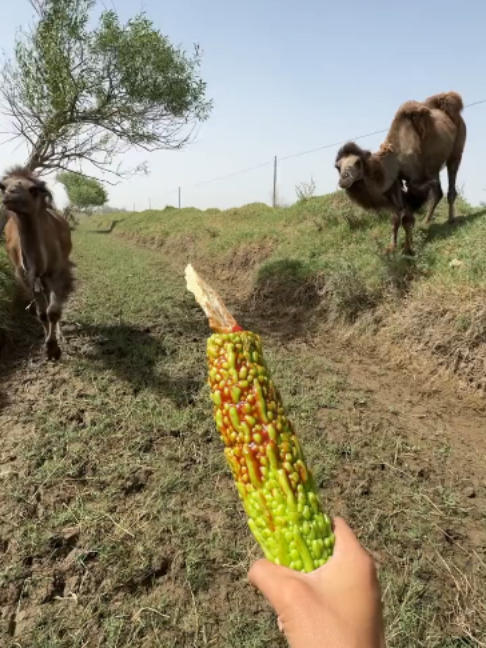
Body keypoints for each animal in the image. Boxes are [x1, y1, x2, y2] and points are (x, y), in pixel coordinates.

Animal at [2, 166, 75, 360]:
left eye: (33, 189)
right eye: (3, 186)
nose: (10, 194)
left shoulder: (56, 272)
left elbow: (53, 311)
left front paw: (54, 347)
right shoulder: (27, 277)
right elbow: (42, 313)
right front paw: (49, 347)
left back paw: (61, 334)